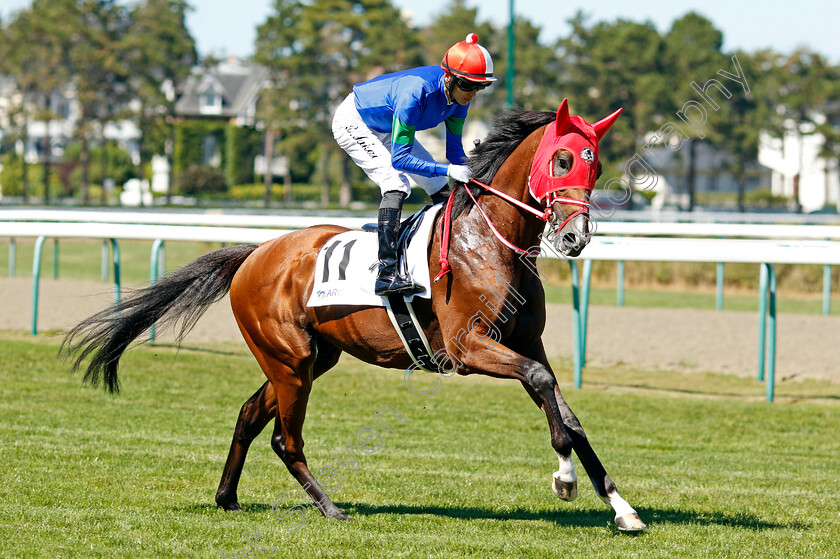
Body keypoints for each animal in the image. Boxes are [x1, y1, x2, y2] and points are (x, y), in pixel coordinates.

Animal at [62, 98, 648, 532]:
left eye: (596, 163)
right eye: (563, 160)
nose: (575, 238)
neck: (487, 242)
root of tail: (254, 253)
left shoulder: (526, 342)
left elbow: (566, 411)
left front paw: (622, 508)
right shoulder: (468, 347)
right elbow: (544, 386)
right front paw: (565, 479)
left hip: (307, 359)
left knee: (250, 415)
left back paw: (227, 496)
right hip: (291, 359)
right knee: (285, 438)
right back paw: (329, 506)